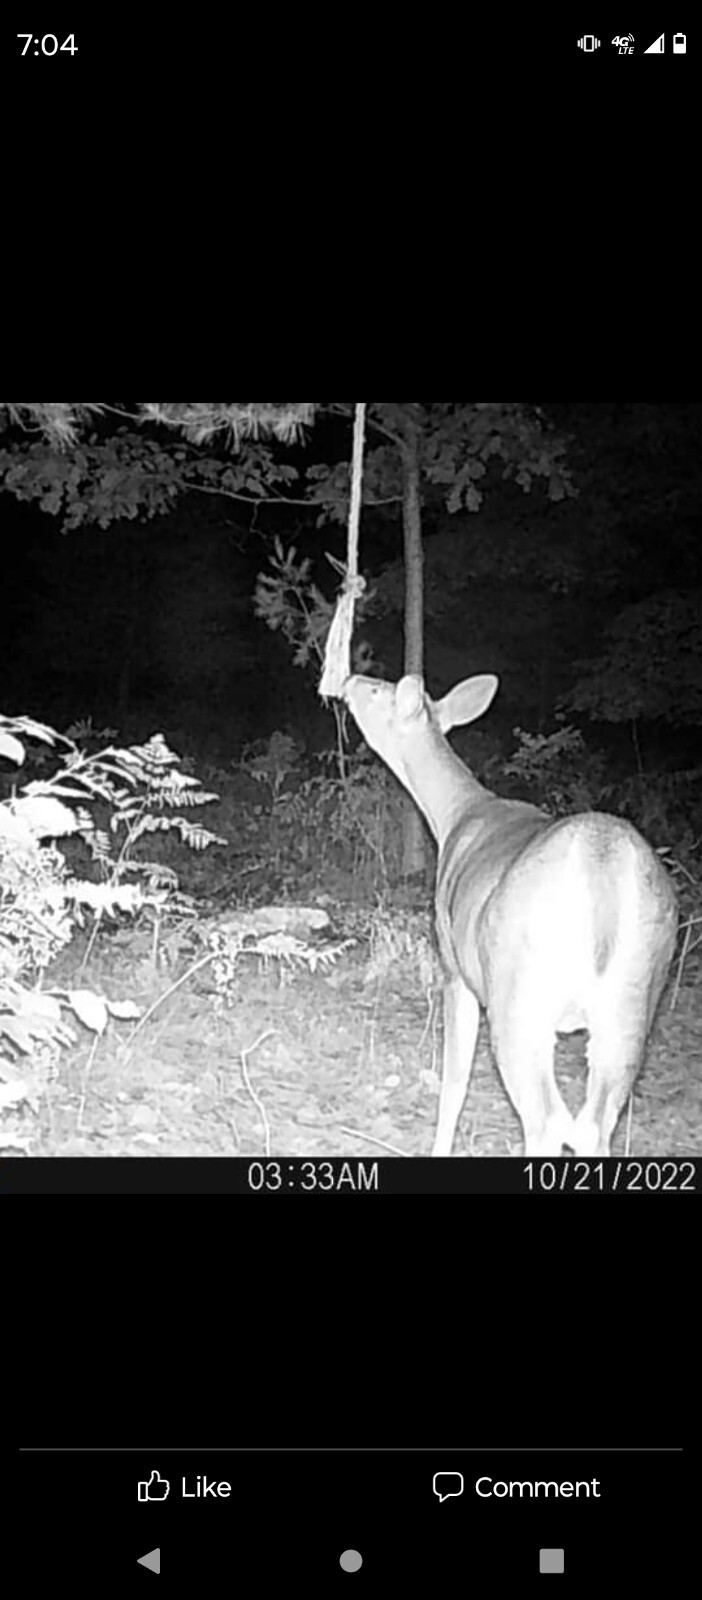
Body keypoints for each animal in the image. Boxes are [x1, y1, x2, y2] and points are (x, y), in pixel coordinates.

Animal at [343, 672, 678, 1157]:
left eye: (376, 691)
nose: (350, 680)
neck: (455, 815)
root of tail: (604, 870)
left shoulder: (455, 971)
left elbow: (455, 1082)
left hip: (518, 995)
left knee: (549, 1120)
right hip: (635, 997)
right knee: (595, 1123)